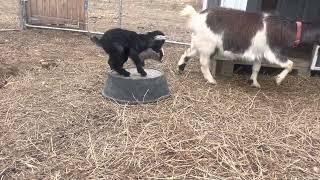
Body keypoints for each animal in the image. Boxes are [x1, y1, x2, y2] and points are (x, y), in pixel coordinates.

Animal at [178, 5, 320, 87]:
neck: (288, 30)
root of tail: (197, 17)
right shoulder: (272, 52)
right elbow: (290, 64)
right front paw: (278, 80)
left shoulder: (259, 53)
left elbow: (256, 68)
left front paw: (254, 82)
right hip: (208, 45)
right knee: (203, 62)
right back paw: (211, 80)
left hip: (200, 42)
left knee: (188, 53)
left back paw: (180, 68)